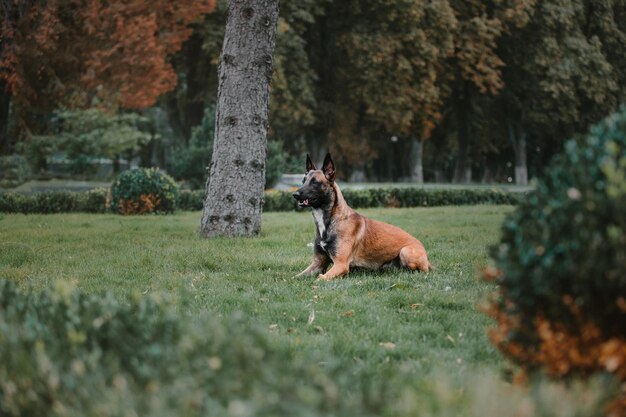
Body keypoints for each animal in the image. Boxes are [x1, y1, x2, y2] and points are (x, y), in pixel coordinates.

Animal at [292, 153, 428, 280]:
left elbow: (319, 278)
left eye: (315, 182)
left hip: (405, 252)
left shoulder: (340, 265)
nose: (295, 194)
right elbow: (295, 277)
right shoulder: (318, 263)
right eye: (303, 181)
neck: (332, 220)